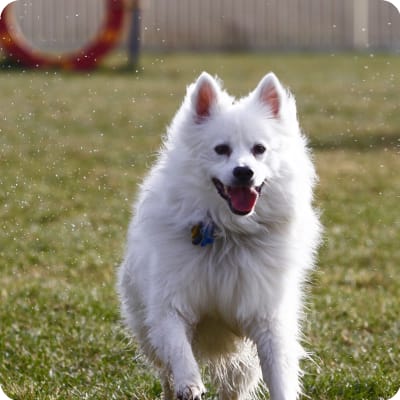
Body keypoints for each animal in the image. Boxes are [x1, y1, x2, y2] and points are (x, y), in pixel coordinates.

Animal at [118, 72, 322, 400]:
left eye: (259, 149)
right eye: (221, 149)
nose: (244, 172)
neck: (230, 232)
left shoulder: (267, 317)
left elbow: (279, 373)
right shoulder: (170, 304)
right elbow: (179, 349)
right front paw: (190, 383)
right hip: (146, 329)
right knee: (165, 372)